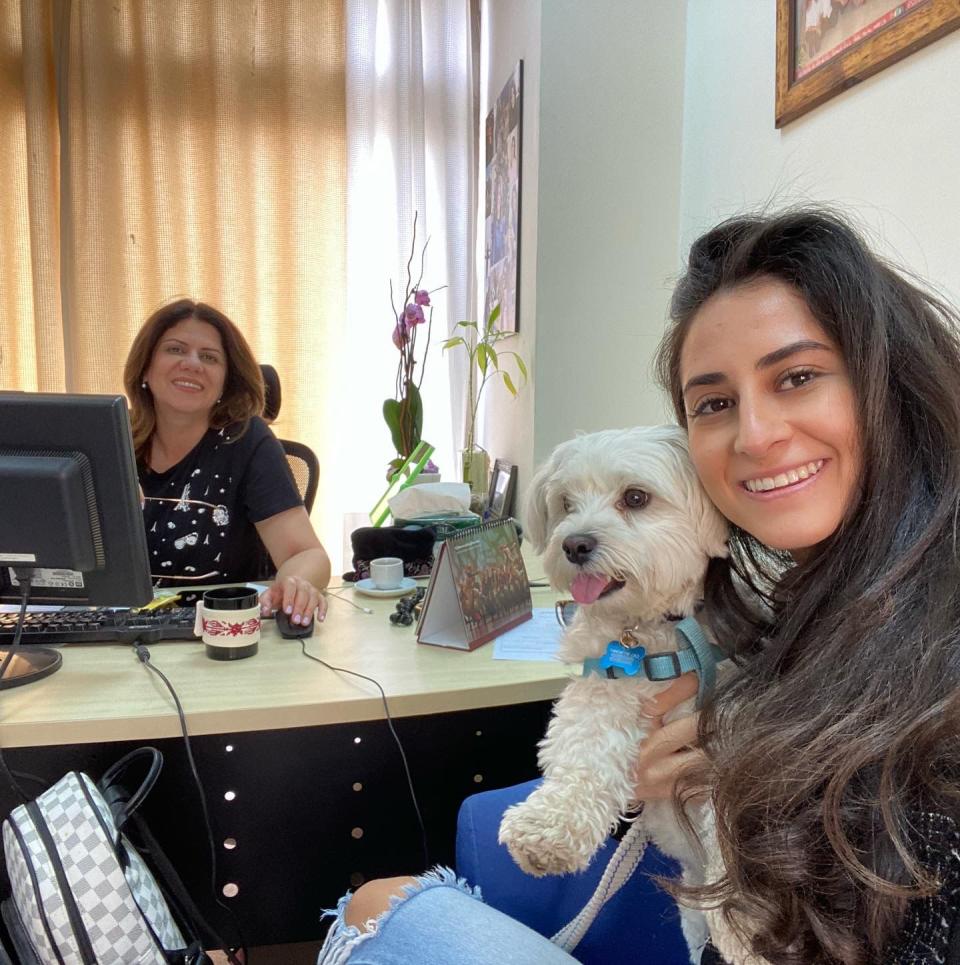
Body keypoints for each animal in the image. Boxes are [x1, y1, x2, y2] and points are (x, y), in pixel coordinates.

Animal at [498, 426, 732, 960]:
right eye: (566, 503)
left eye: (636, 498)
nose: (574, 543)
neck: (657, 637)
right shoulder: (602, 689)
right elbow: (585, 752)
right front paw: (548, 828)